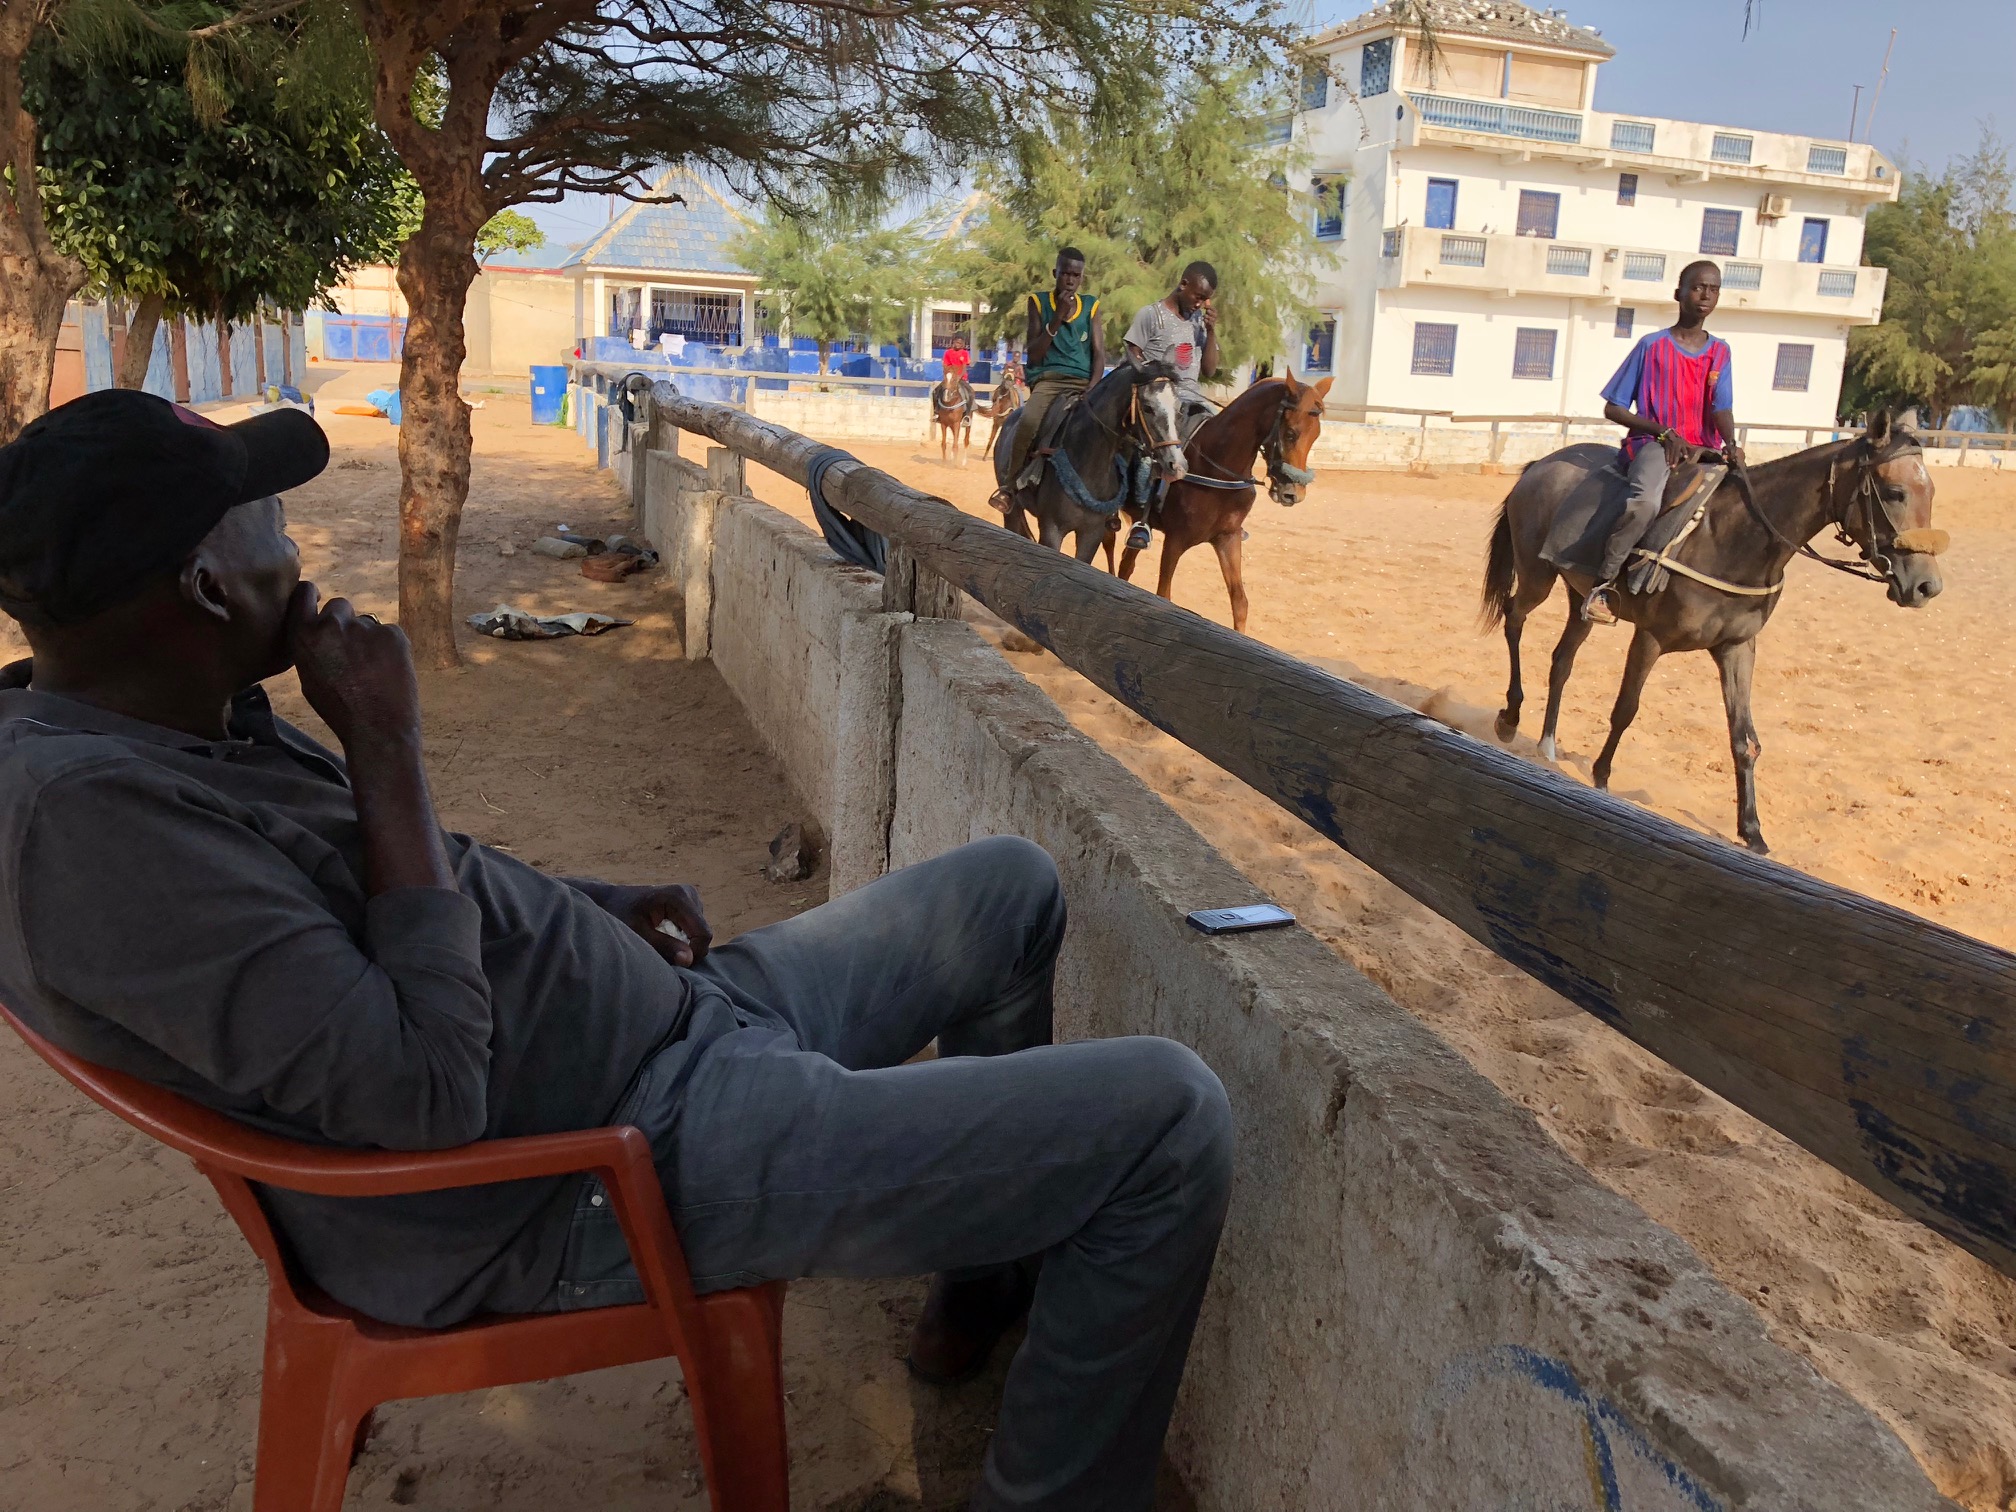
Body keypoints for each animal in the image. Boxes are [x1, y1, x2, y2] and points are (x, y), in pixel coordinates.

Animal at [995, 358, 1185, 564]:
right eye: (1148, 407)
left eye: (1179, 410)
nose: (1176, 465)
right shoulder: (1052, 529)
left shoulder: (1092, 534)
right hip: (1013, 511)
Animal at [1112, 381, 1330, 641]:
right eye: (1290, 433)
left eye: (1316, 435)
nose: (1294, 493)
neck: (1216, 467)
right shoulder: (1175, 540)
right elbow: (1163, 594)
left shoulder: (1228, 538)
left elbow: (1240, 601)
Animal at [1491, 411, 1943, 854]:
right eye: (1895, 492)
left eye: (1931, 491)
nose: (1927, 586)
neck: (1732, 539)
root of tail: (1541, 465)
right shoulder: (1650, 638)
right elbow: (1626, 709)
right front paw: (1601, 777)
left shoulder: (1737, 648)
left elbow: (1745, 740)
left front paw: (1752, 830)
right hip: (1537, 577)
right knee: (1514, 619)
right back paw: (1510, 716)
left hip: (1580, 599)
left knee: (1561, 661)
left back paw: (1547, 744)